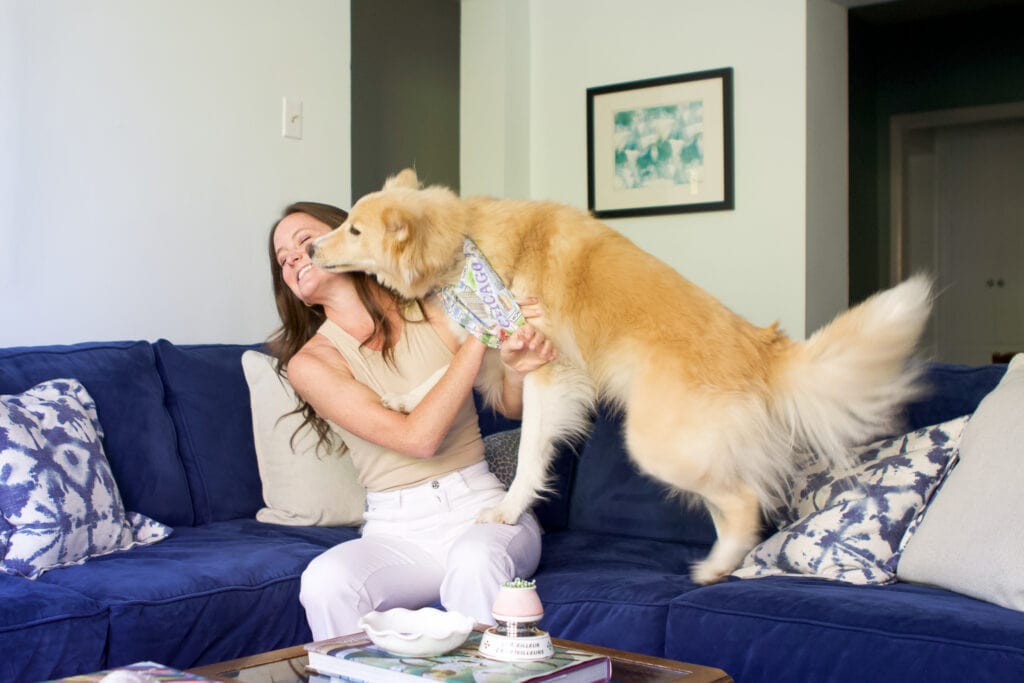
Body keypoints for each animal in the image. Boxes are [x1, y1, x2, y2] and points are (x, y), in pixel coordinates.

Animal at [307, 169, 933, 581]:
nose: (311, 247)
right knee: (735, 497)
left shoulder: (547, 371)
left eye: (354, 231)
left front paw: (509, 510)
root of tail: (758, 344)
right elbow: (446, 371)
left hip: (656, 443)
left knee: (744, 502)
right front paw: (401, 399)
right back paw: (721, 563)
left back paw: (714, 568)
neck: (465, 243)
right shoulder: (498, 347)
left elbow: (530, 452)